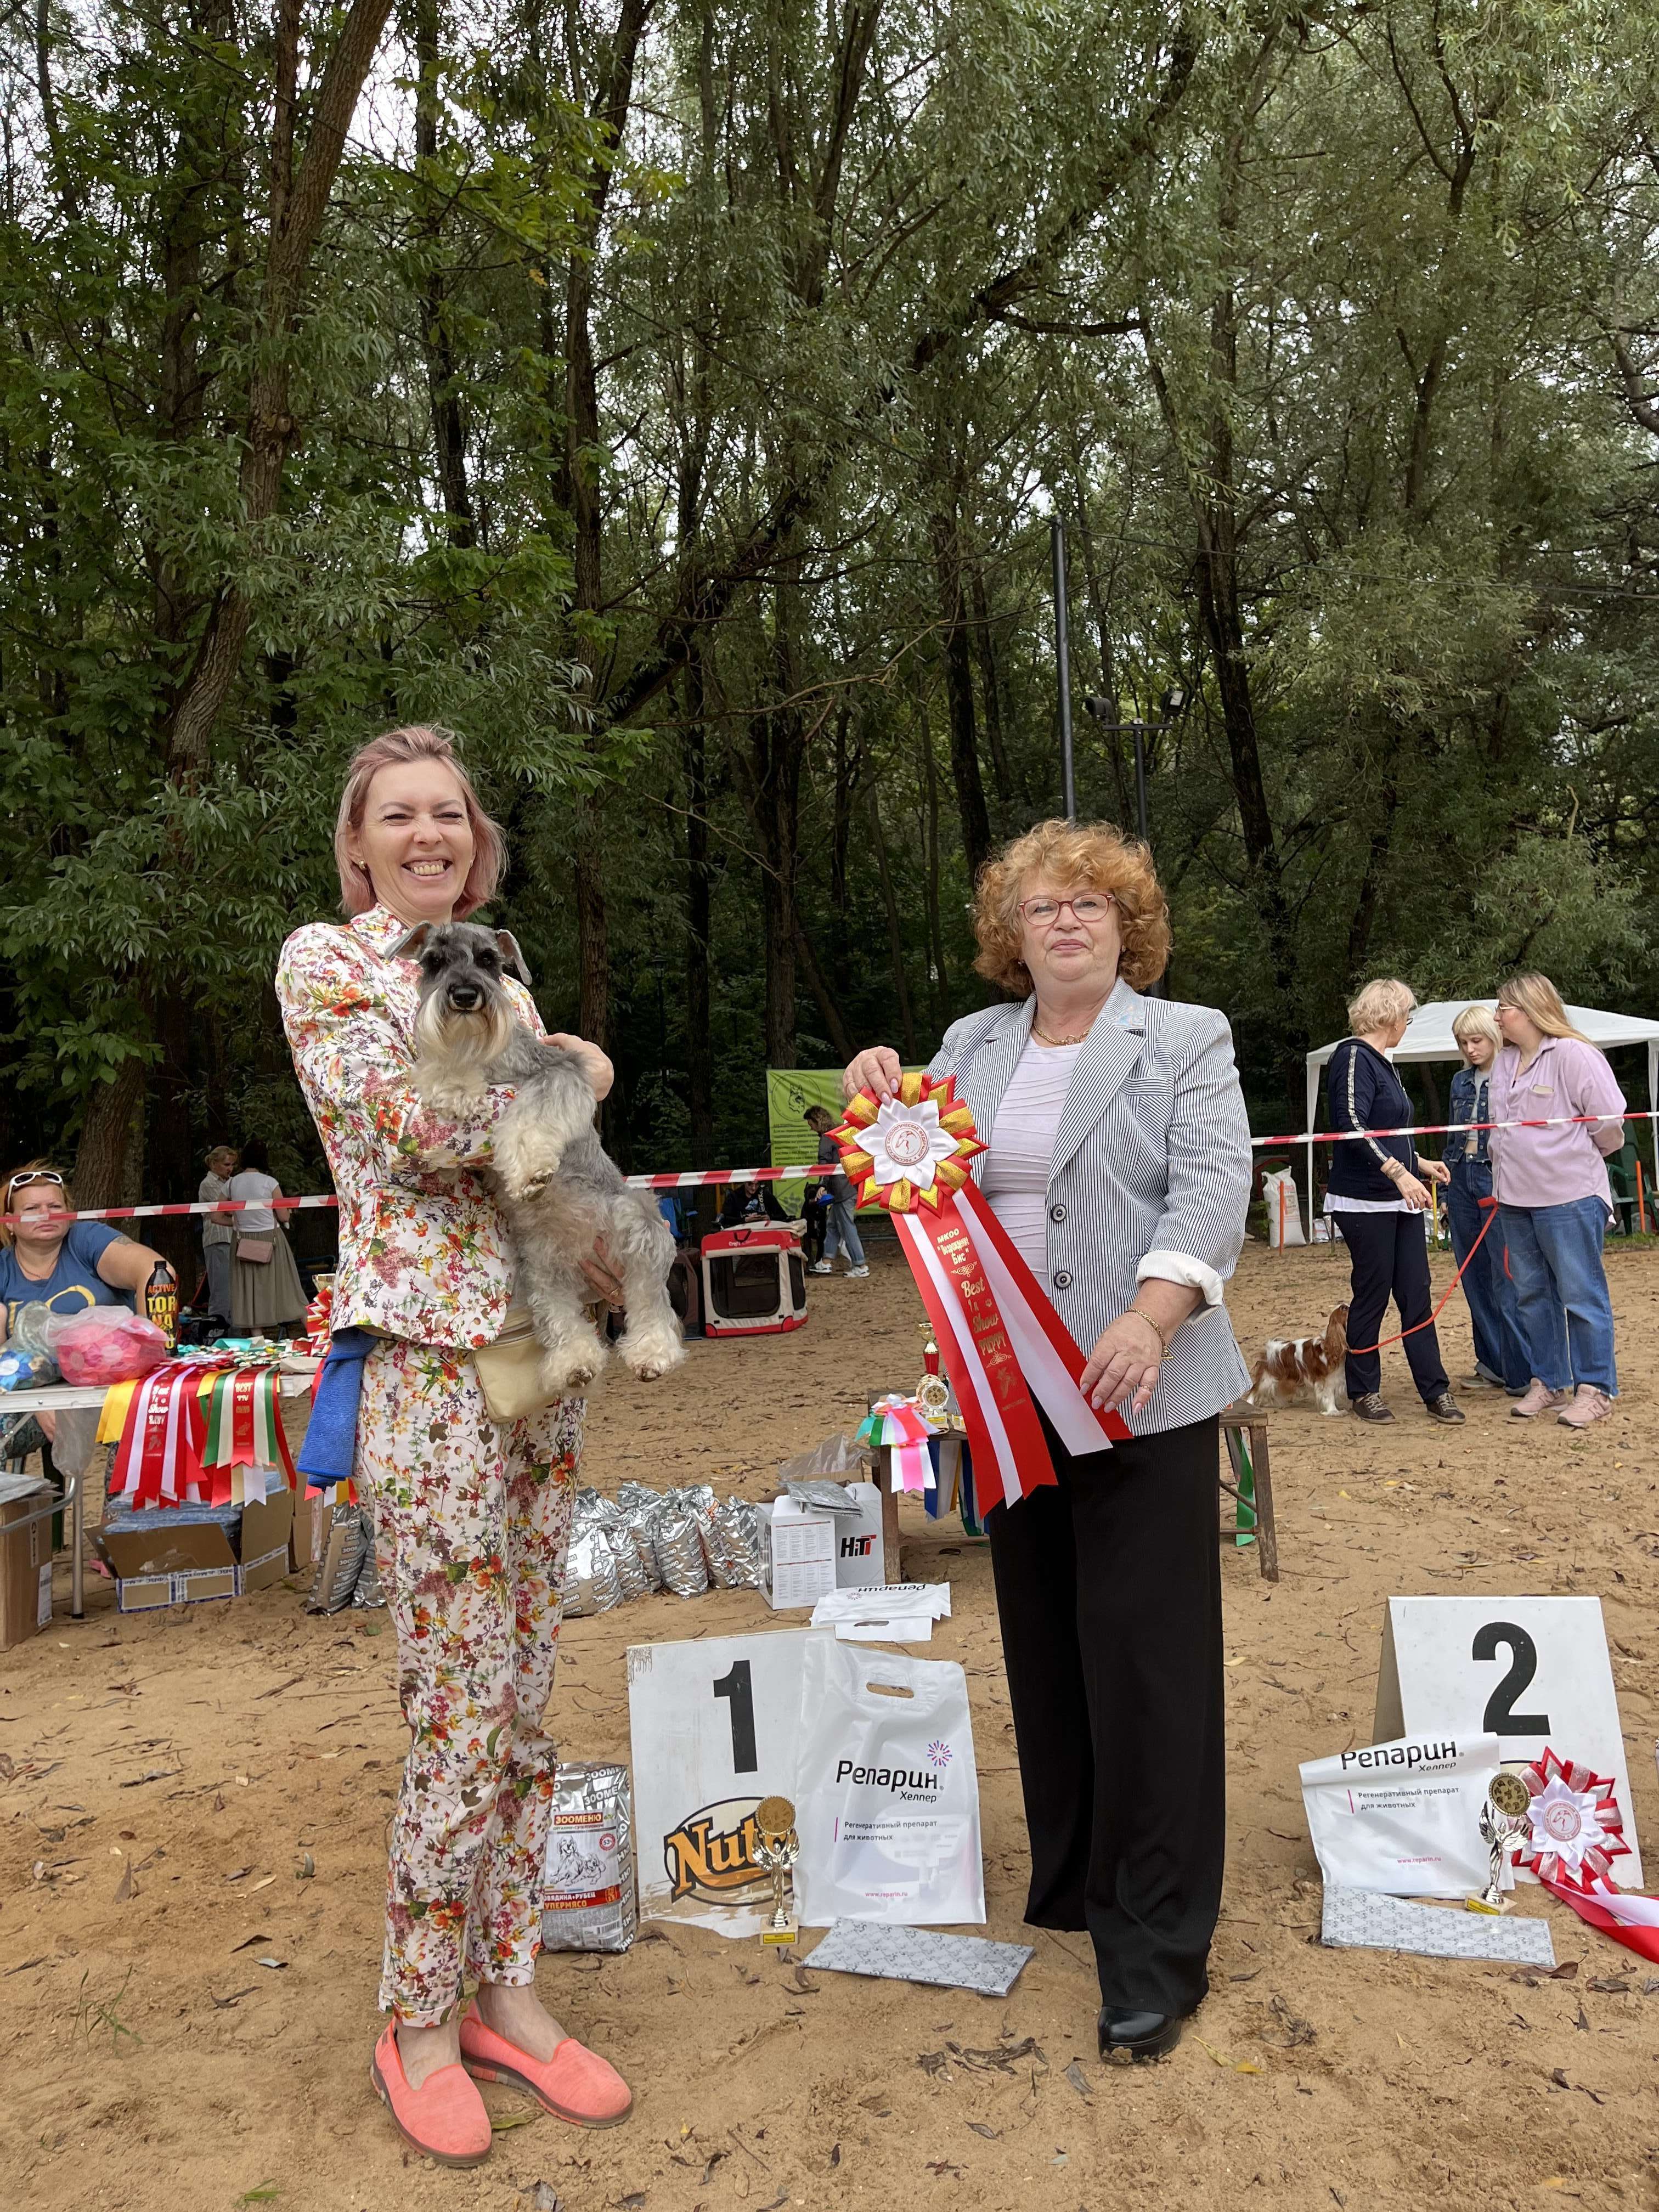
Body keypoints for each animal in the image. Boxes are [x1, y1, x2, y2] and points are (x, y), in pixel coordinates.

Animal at [393, 924, 685, 1389]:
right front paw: (454, 1087)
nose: (464, 995)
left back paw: (652, 1353)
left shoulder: (560, 1073)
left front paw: (531, 1172)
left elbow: (533, 1109)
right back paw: (574, 1363)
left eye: (488, 959)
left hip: (636, 1225)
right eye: (434, 961)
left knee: (649, 1300)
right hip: (543, 1270)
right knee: (561, 1318)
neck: (478, 1046)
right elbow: (440, 1073)